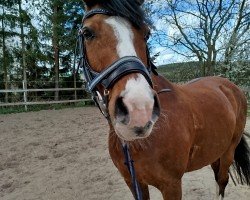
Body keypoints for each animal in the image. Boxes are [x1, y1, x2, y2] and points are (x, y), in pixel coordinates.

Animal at [81, 0, 249, 199]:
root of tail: (230, 86)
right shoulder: (134, 183)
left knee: (222, 181)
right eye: (87, 33)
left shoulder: (171, 184)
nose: (139, 109)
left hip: (228, 151)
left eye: (146, 34)